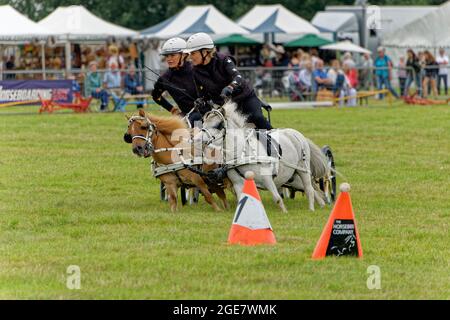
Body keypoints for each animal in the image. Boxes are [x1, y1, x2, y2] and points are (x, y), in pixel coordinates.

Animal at [197, 102, 326, 212]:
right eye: (203, 122)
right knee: (309, 188)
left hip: (303, 170)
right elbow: (243, 201)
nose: (198, 139)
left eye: (218, 125)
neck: (244, 154)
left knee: (309, 189)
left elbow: (277, 198)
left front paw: (284, 212)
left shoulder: (267, 179)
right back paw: (322, 204)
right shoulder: (238, 184)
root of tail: (296, 134)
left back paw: (311, 209)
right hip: (292, 177)